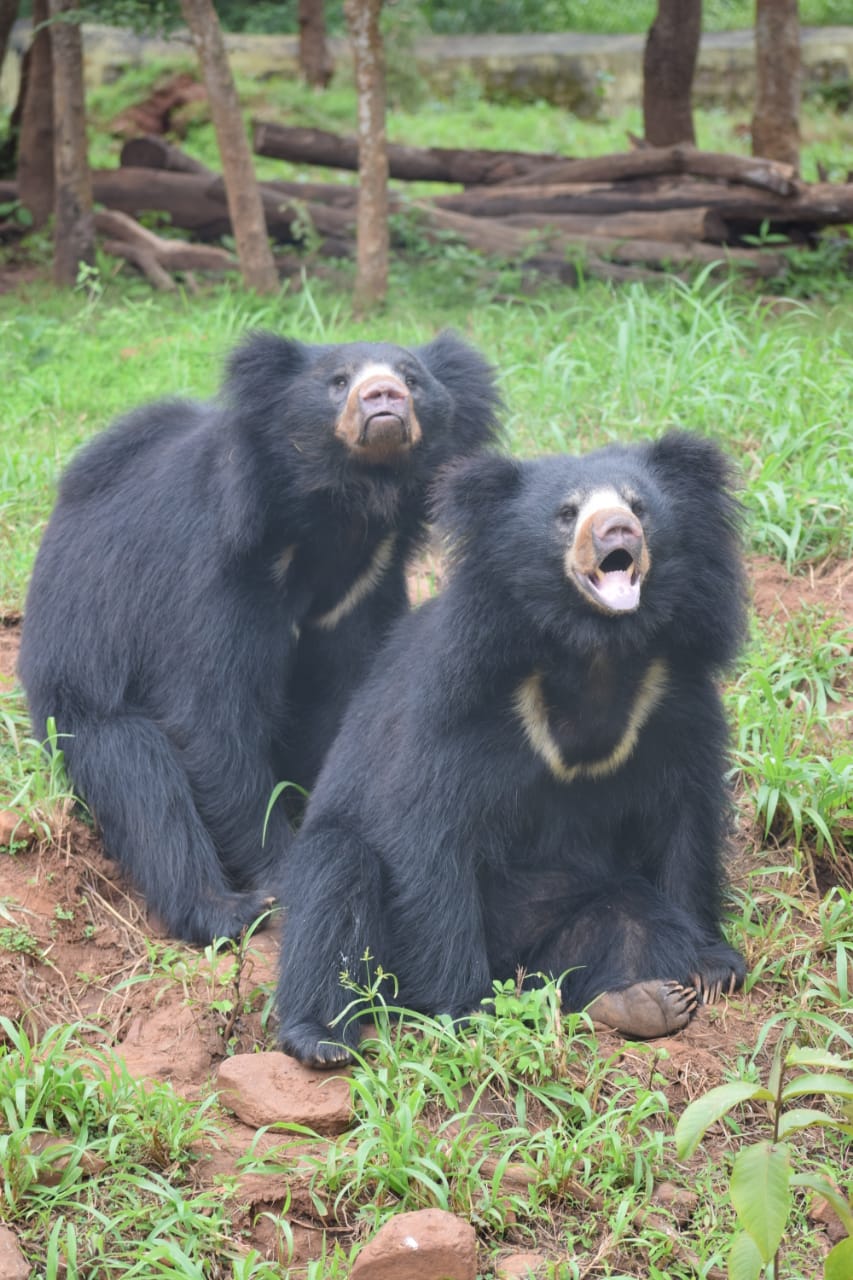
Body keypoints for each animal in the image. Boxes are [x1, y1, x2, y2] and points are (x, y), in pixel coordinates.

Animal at [18, 335, 499, 947]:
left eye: (413, 379)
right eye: (338, 381)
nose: (383, 395)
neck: (336, 514)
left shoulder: (365, 588)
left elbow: (355, 707)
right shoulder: (224, 570)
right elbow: (212, 721)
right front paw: (283, 877)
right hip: (76, 698)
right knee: (141, 777)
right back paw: (225, 909)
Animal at [275, 432, 747, 1070]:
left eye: (639, 505)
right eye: (567, 514)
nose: (618, 531)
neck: (595, 650)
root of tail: (517, 968)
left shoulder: (672, 697)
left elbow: (684, 822)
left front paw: (713, 969)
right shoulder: (461, 710)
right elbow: (433, 840)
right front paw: (463, 1011)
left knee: (628, 914)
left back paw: (640, 1001)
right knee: (336, 874)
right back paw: (320, 1037)